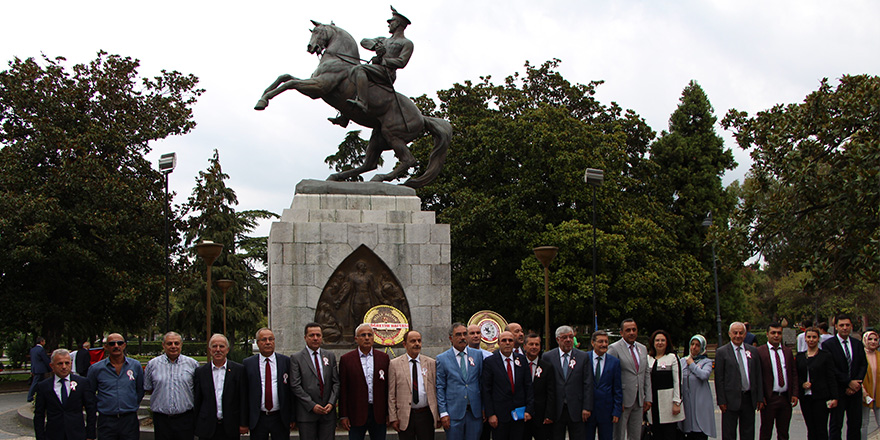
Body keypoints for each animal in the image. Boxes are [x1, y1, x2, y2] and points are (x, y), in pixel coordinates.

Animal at [253, 22, 446, 187]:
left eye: (318, 32)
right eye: (312, 32)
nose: (310, 47)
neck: (338, 60)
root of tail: (421, 117)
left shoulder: (319, 87)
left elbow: (289, 83)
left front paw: (263, 101)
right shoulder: (314, 85)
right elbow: (284, 77)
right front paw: (262, 97)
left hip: (392, 134)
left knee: (408, 160)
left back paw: (378, 178)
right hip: (379, 136)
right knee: (369, 164)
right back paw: (337, 177)